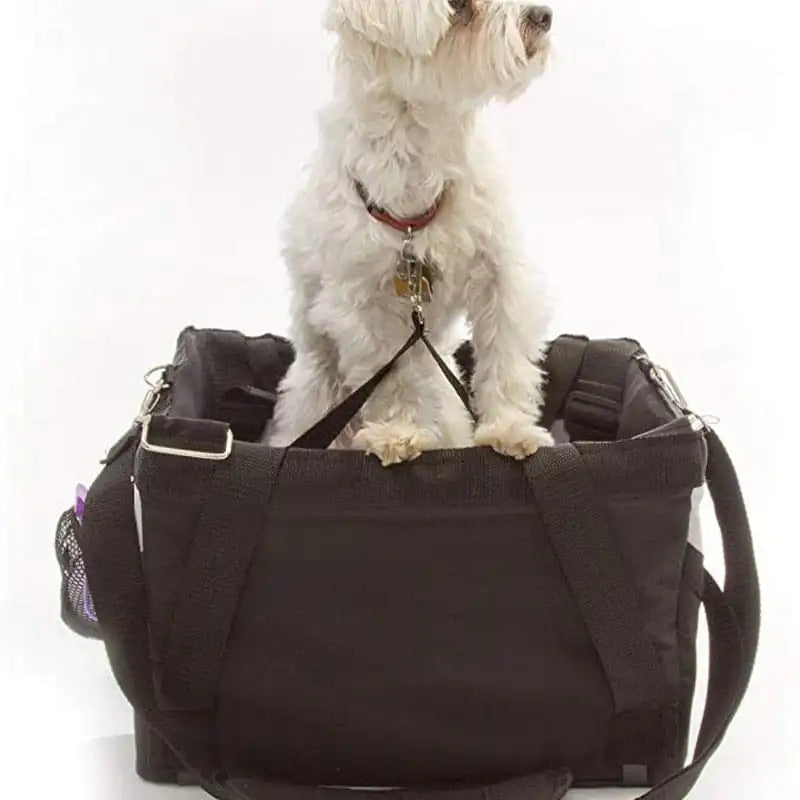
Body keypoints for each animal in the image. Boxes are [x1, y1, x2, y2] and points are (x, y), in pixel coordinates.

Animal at [268, 0, 556, 466]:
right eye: (460, 9)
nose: (543, 15)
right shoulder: (366, 306)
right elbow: (394, 376)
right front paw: (399, 434)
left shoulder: (502, 273)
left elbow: (506, 355)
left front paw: (508, 428)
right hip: (318, 392)